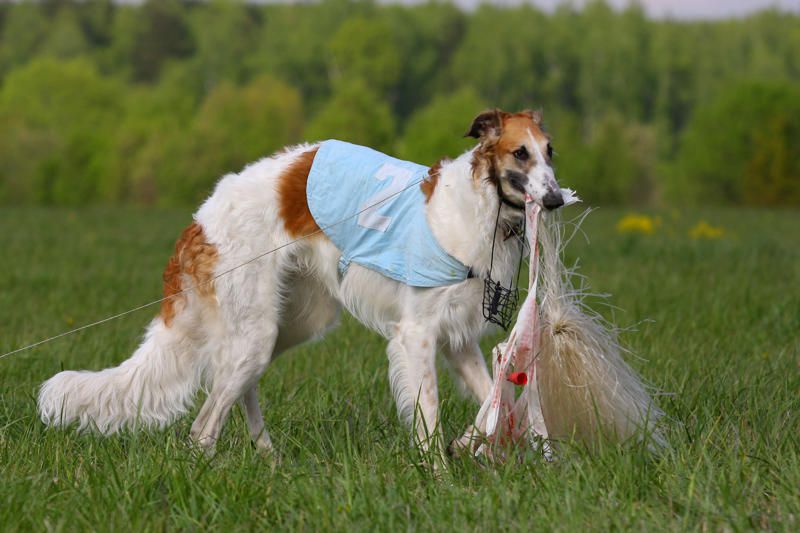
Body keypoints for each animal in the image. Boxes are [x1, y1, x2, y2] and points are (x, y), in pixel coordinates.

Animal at [37, 109, 564, 458]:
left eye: (550, 151)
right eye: (520, 152)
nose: (557, 199)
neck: (474, 211)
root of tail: (200, 219)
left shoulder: (457, 340)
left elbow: (498, 405)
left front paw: (466, 443)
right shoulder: (416, 335)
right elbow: (430, 414)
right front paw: (438, 473)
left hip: (291, 322)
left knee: (233, 390)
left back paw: (267, 456)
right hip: (258, 327)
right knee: (203, 425)